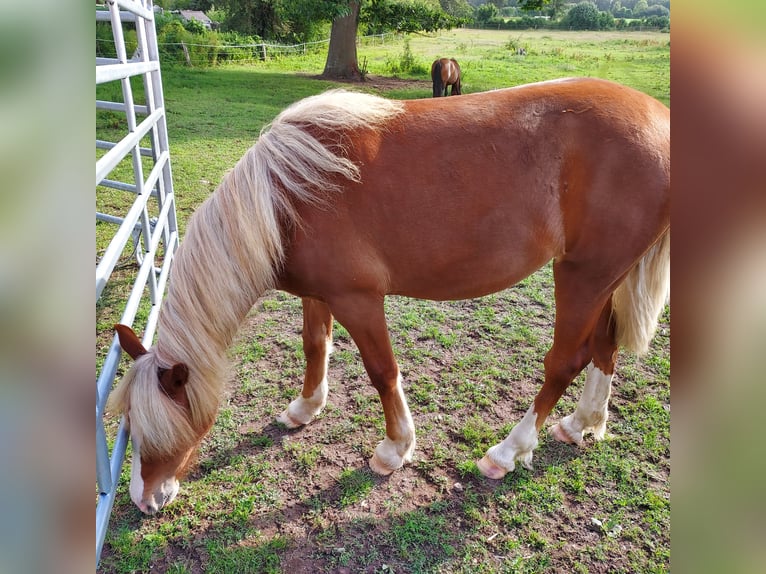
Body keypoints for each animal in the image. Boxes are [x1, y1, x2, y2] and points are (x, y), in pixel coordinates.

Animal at [109, 77, 670, 514]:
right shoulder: (318, 293)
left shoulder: (358, 300)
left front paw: (395, 449)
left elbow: (382, 371)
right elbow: (315, 346)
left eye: (155, 429)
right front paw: (305, 408)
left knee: (565, 360)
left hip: (582, 277)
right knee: (604, 346)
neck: (284, 198)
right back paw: (582, 424)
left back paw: (507, 453)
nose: (143, 500)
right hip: (603, 277)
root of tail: (660, 119)